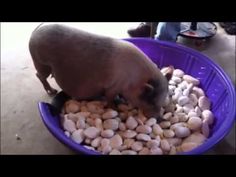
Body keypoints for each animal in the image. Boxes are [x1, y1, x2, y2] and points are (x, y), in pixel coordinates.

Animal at [29, 23, 173, 117]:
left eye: (162, 101)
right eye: (151, 102)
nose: (159, 119)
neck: (134, 80)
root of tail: (35, 31)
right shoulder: (113, 86)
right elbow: (110, 97)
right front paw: (116, 109)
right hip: (41, 63)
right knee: (39, 75)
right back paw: (52, 91)